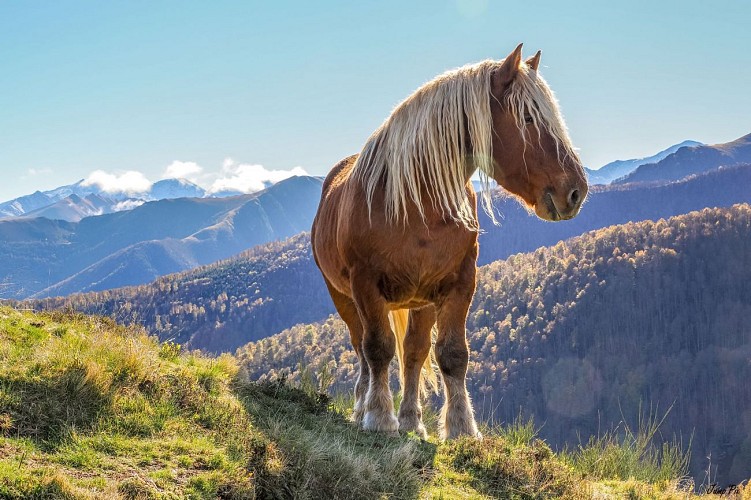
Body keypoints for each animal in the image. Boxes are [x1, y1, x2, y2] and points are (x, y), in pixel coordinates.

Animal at [310, 45, 588, 440]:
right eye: (528, 118)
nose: (576, 191)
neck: (413, 204)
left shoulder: (459, 283)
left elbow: (452, 354)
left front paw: (461, 427)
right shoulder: (365, 285)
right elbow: (377, 348)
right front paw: (378, 417)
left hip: (420, 299)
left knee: (413, 351)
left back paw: (412, 420)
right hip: (343, 296)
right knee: (361, 346)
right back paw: (364, 406)